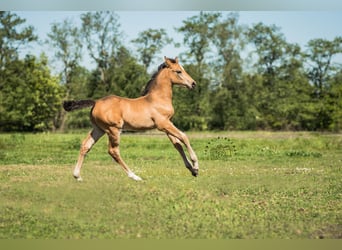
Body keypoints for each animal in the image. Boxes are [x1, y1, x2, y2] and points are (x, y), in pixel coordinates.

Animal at [63, 57, 199, 182]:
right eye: (179, 71)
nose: (193, 84)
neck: (157, 99)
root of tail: (96, 102)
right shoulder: (163, 124)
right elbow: (184, 137)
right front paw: (196, 165)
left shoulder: (167, 124)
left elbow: (177, 145)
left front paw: (192, 170)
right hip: (113, 129)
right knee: (113, 151)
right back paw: (134, 176)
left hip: (98, 129)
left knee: (85, 146)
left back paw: (77, 176)